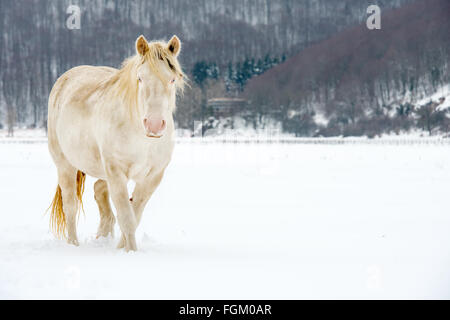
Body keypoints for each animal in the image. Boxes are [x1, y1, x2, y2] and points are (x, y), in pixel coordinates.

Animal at [46, 34, 185, 250]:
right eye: (140, 78)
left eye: (172, 79)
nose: (154, 125)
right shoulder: (116, 171)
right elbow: (127, 217)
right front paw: (130, 252)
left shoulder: (153, 176)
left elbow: (134, 216)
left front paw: (122, 248)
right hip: (65, 164)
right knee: (70, 205)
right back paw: (73, 244)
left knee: (99, 191)